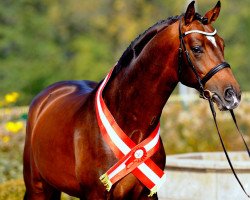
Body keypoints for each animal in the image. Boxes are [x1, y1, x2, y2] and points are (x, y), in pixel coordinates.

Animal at [23, 1, 242, 200]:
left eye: (222, 44)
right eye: (197, 48)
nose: (232, 94)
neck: (129, 122)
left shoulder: (148, 194)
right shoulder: (96, 195)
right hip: (38, 188)